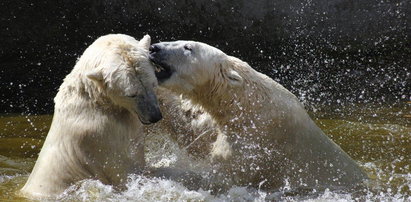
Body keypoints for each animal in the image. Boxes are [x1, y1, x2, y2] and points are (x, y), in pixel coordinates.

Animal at [20, 34, 163, 198]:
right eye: (132, 94)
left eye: (153, 84)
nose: (155, 116)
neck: (93, 98)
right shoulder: (100, 136)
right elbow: (124, 171)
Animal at [150, 40, 368, 191]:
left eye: (188, 47)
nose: (154, 47)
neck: (248, 104)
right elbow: (191, 129)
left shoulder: (257, 144)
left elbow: (218, 177)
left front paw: (156, 171)